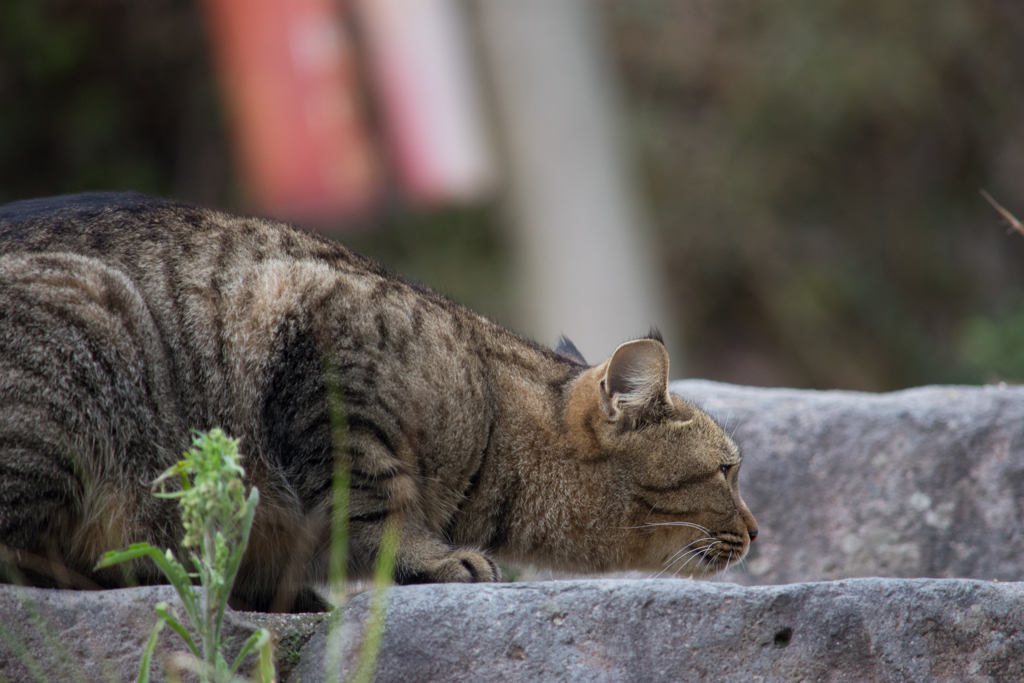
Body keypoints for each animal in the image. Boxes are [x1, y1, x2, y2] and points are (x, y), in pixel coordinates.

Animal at [0, 192, 753, 614]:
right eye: (727, 470)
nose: (755, 529)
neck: (489, 404)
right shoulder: (323, 343)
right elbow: (372, 502)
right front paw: (434, 556)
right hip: (89, 328)